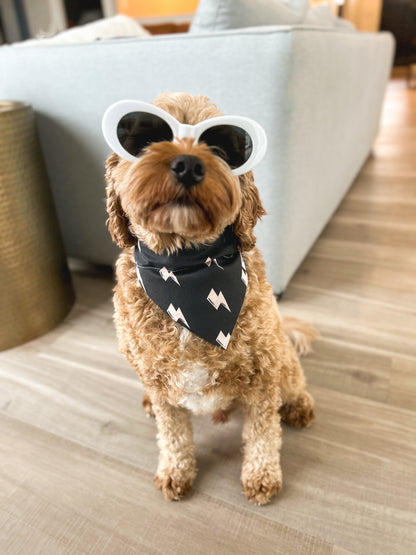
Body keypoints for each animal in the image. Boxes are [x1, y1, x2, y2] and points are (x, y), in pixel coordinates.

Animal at [103, 92, 316, 504]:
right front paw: (175, 471)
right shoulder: (159, 381)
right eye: (144, 138)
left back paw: (299, 405)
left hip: (281, 358)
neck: (185, 269)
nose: (188, 164)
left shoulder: (263, 375)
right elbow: (173, 435)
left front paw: (262, 476)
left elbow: (263, 434)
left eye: (222, 147)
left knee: (294, 379)